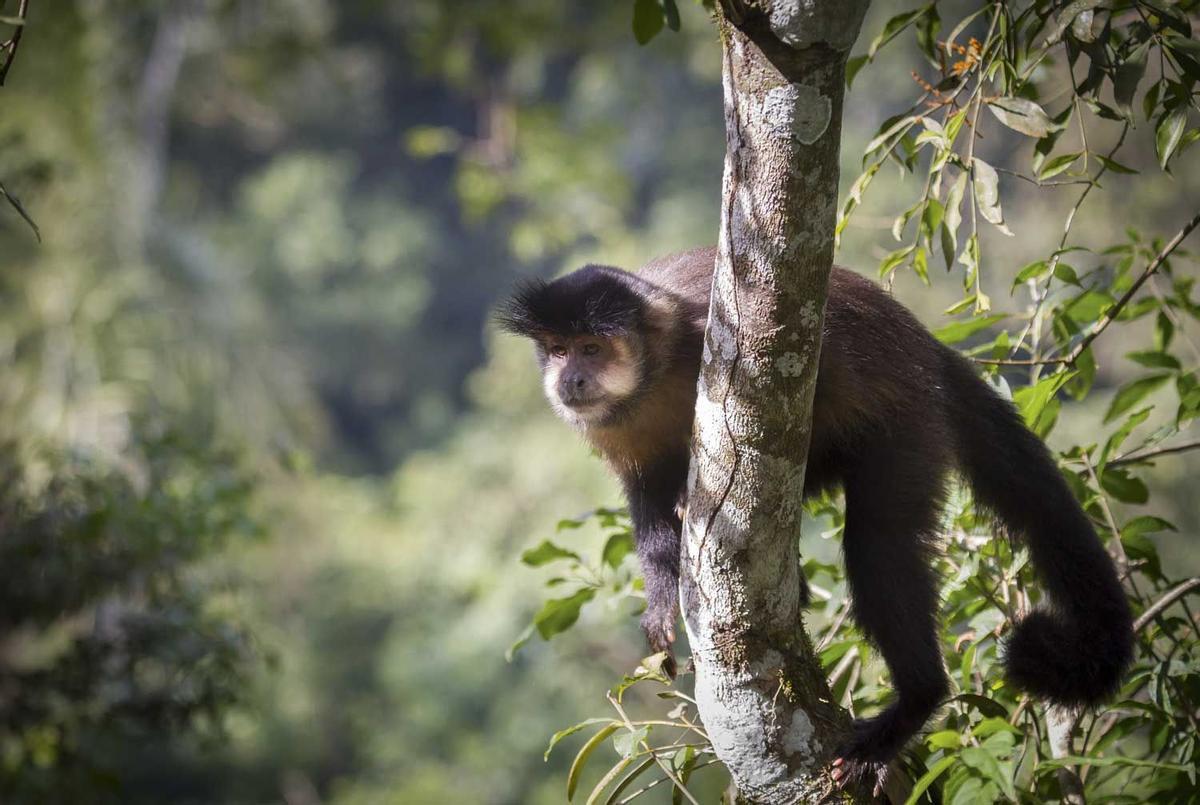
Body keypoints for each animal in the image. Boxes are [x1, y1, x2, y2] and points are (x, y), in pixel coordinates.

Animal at [496, 247, 1132, 787]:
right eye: (558, 349)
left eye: (592, 348)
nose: (570, 379)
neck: (652, 376)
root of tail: (925, 345)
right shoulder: (616, 433)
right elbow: (648, 510)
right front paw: (659, 603)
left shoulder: (714, 334)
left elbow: (810, 392)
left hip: (912, 419)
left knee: (879, 547)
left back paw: (916, 700)